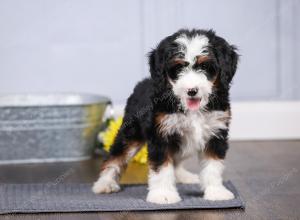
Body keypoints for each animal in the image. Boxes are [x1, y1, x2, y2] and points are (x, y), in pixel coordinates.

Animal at [92, 28, 238, 205]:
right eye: (178, 67)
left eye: (205, 66)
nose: (192, 90)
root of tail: (142, 83)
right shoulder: (161, 134)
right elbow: (162, 166)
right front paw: (163, 194)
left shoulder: (216, 132)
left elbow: (213, 164)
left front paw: (216, 191)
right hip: (131, 133)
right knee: (116, 156)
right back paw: (105, 183)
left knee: (177, 160)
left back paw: (183, 176)